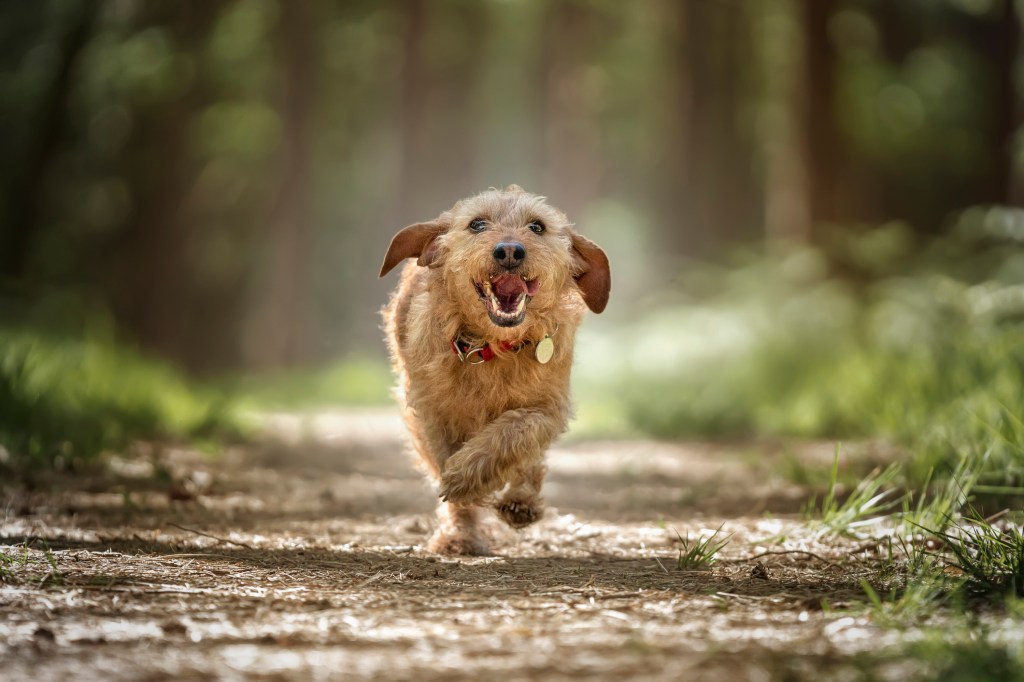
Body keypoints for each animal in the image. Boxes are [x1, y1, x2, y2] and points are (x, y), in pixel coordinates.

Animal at [380, 184, 610, 552]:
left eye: (537, 227)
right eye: (477, 224)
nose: (510, 251)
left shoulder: (548, 405)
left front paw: (469, 477)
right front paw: (462, 529)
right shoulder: (431, 413)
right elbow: (444, 462)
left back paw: (521, 501)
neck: (493, 347)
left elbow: (517, 432)